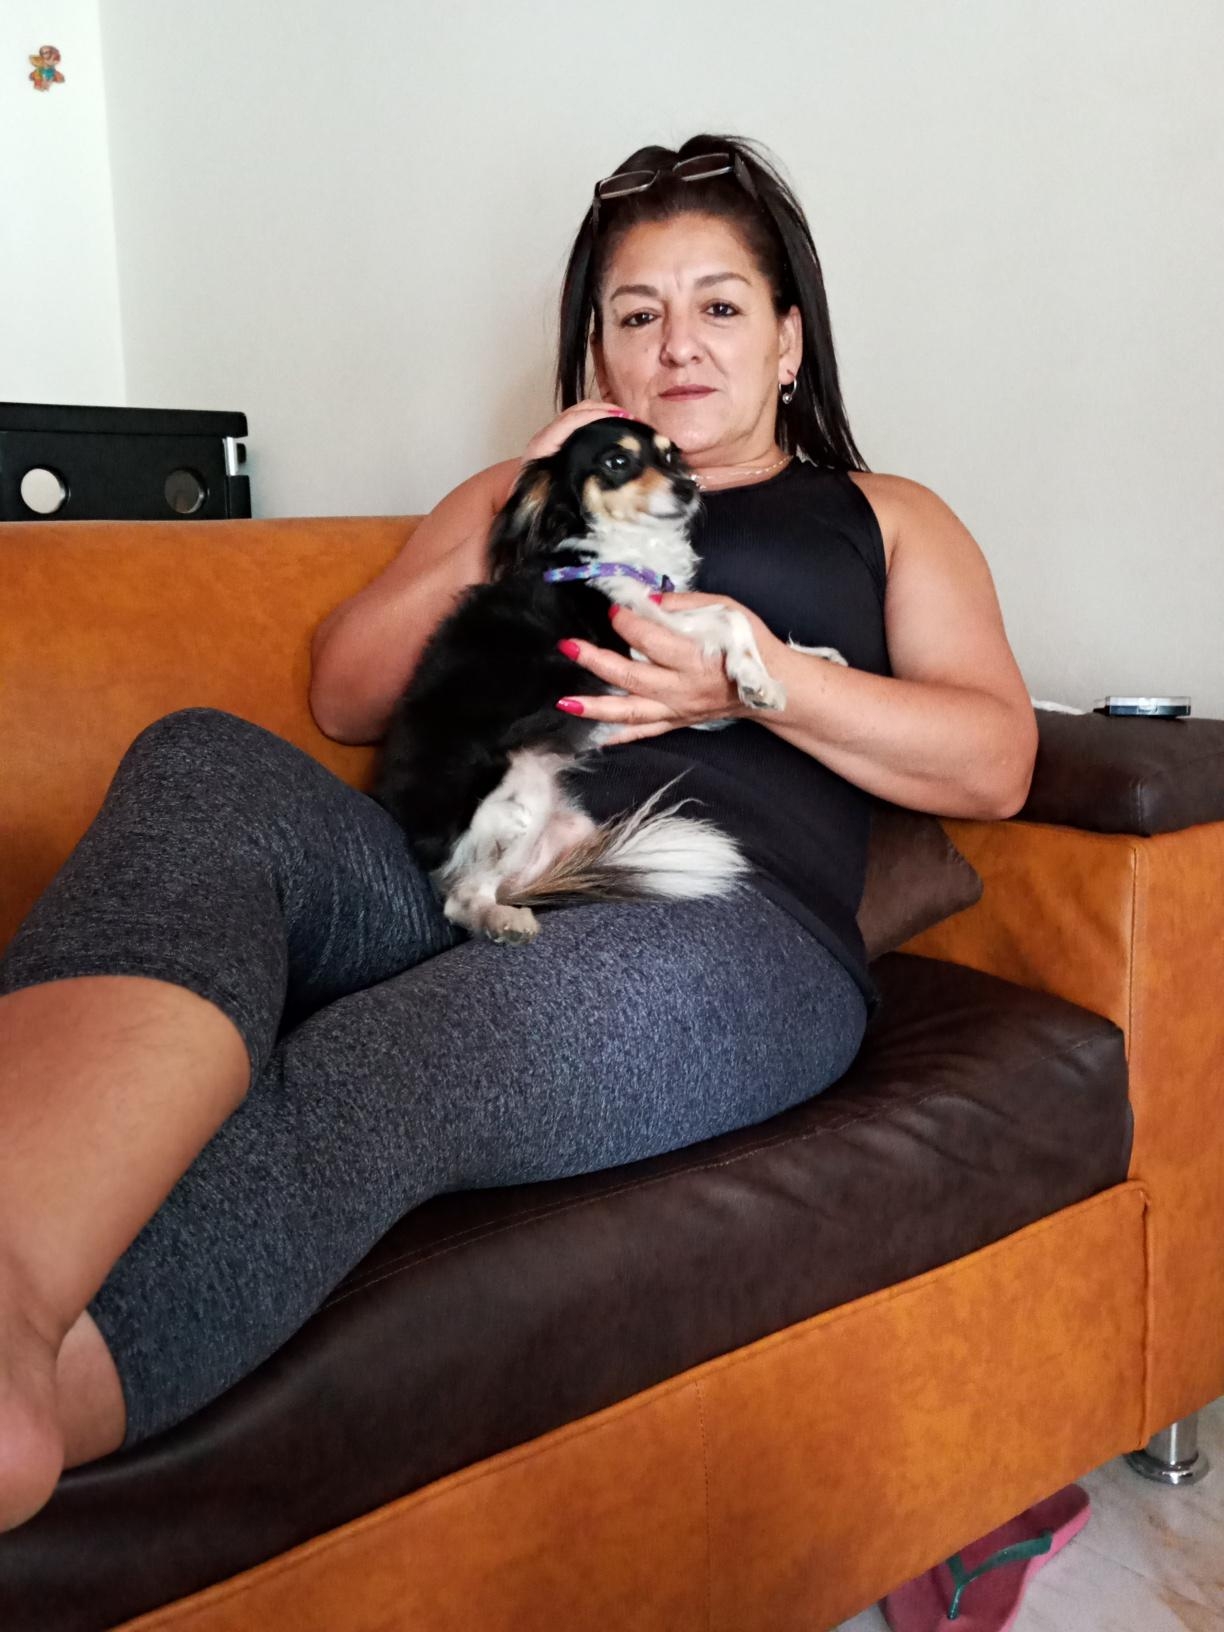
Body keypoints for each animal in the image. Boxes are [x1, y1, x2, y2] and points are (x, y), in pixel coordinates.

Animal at [371, 416, 846, 944]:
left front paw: (802, 661)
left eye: (671, 456)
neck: (627, 548)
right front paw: (757, 679)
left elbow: (743, 630)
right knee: (462, 899)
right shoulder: (633, 637)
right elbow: (730, 615)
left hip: (565, 824)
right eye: (617, 461)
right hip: (514, 800)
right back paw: (504, 920)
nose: (689, 487)